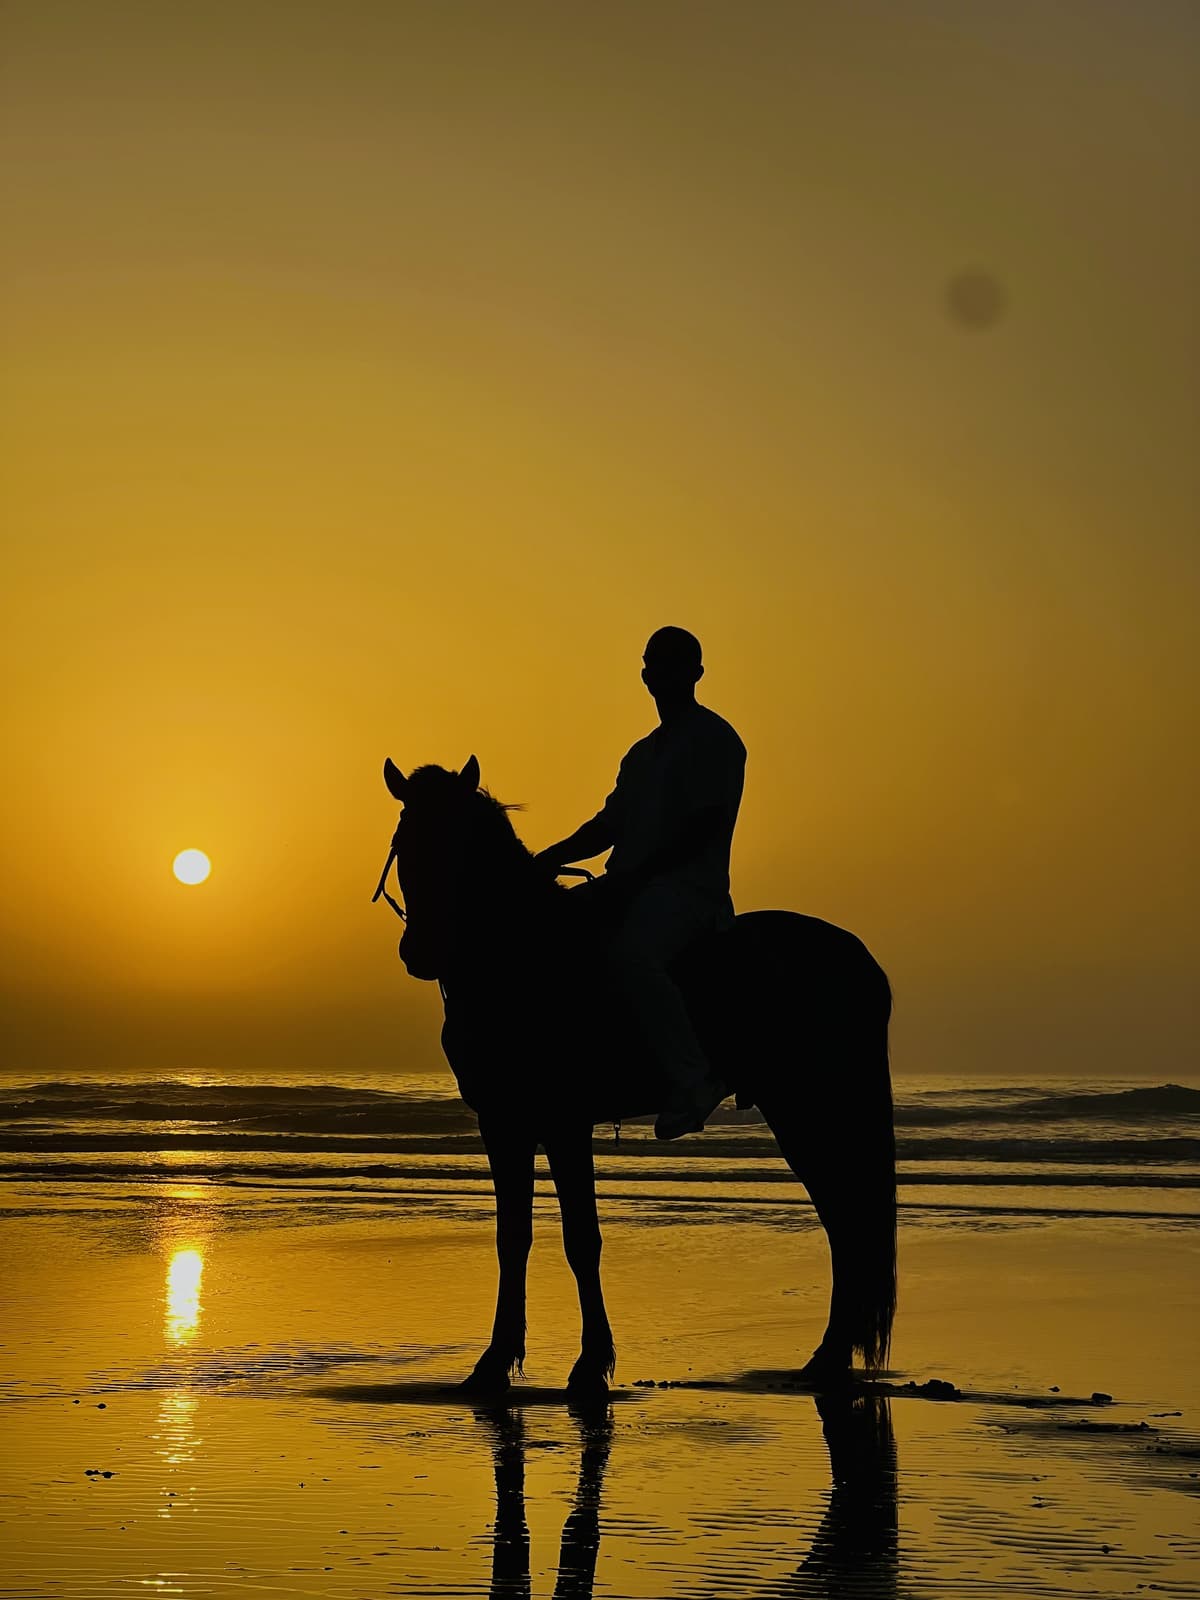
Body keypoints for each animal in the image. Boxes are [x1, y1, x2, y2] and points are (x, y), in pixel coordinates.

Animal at [374, 754, 896, 1398]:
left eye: (464, 844)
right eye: (404, 844)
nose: (422, 951)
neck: (523, 959)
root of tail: (857, 960)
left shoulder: (564, 1122)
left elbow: (581, 1238)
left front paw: (590, 1364)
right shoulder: (503, 1122)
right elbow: (511, 1238)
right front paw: (494, 1364)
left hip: (809, 1109)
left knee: (847, 1224)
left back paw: (826, 1359)